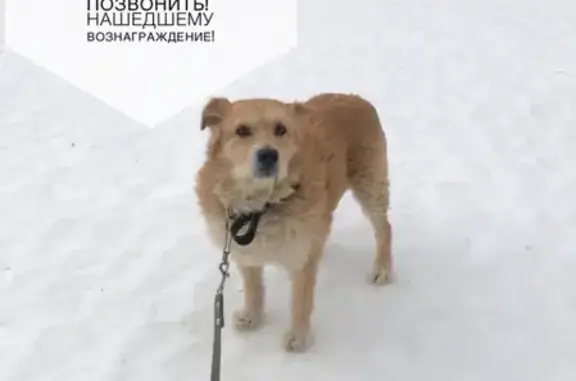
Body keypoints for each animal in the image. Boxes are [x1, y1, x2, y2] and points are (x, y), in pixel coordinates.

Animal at [197, 92, 392, 350]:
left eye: (281, 129)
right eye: (242, 130)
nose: (269, 155)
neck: (260, 207)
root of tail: (355, 97)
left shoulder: (301, 260)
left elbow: (301, 301)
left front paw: (298, 337)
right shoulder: (245, 252)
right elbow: (253, 287)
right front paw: (253, 316)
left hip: (369, 184)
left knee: (384, 228)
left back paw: (383, 268)